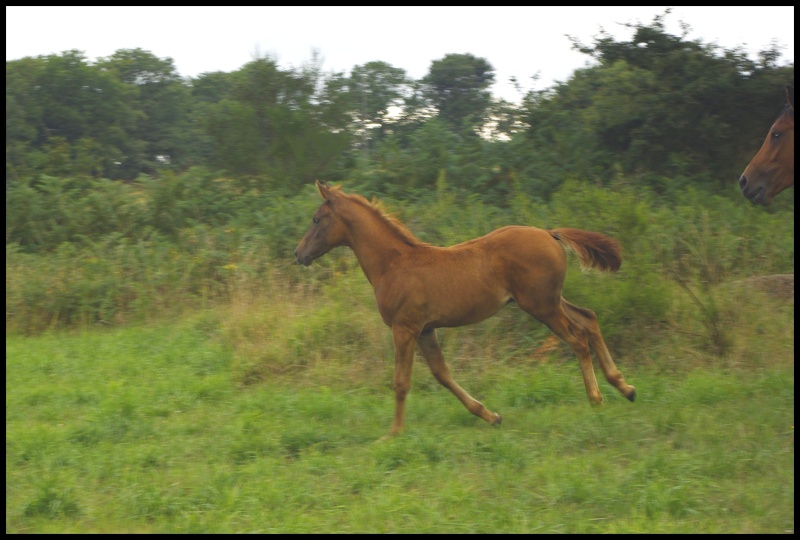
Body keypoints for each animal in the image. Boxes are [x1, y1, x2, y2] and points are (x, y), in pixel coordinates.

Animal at [296, 181, 636, 438]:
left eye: (316, 219)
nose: (299, 254)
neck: (393, 264)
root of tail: (549, 233)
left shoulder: (404, 328)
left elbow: (401, 382)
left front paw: (392, 434)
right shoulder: (426, 329)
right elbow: (442, 374)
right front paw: (491, 416)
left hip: (542, 305)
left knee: (578, 337)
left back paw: (596, 399)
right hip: (551, 300)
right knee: (590, 318)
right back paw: (625, 387)